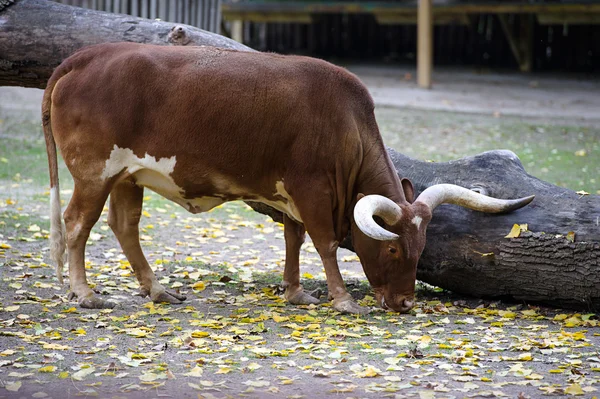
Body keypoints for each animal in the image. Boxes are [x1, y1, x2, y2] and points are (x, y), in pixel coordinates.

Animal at [42, 42, 532, 314]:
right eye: (392, 249)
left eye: (421, 248)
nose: (406, 304)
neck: (345, 123)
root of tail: (84, 58)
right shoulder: (312, 189)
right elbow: (326, 243)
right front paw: (343, 299)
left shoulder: (293, 195)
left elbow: (294, 239)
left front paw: (296, 292)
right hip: (95, 173)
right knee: (77, 225)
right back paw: (85, 293)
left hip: (128, 175)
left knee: (124, 227)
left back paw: (158, 290)